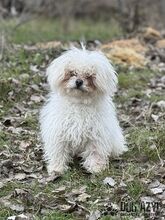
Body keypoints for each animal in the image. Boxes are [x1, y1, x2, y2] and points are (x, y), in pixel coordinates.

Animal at [40, 46, 127, 175]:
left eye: (89, 76)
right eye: (72, 73)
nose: (79, 81)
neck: (79, 103)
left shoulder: (96, 135)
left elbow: (95, 151)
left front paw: (95, 167)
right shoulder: (59, 133)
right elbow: (59, 151)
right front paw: (57, 168)